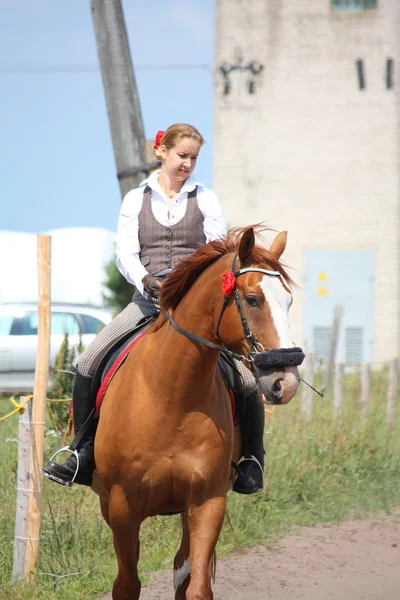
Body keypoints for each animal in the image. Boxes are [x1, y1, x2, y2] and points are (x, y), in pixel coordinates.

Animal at [94, 227, 300, 596]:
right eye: (252, 299)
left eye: (288, 301)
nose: (286, 382)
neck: (170, 394)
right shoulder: (122, 506)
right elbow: (127, 583)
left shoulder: (207, 500)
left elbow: (197, 585)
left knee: (183, 567)